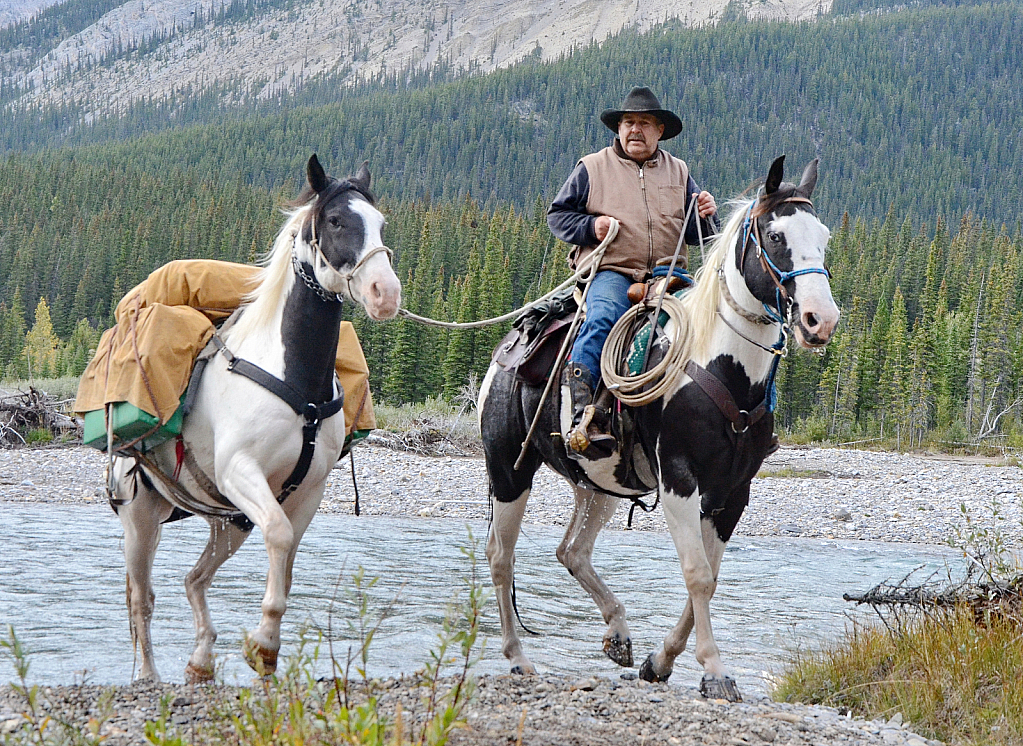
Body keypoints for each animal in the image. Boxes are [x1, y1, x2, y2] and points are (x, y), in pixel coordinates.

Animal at [109, 157, 401, 679]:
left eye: (381, 223)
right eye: (335, 221)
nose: (384, 293)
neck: (295, 382)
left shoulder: (306, 491)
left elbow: (287, 561)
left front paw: (267, 646)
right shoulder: (241, 471)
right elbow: (280, 539)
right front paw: (263, 642)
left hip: (230, 522)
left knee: (194, 579)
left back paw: (202, 659)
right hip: (140, 518)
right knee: (142, 598)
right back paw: (149, 675)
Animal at [478, 155, 838, 699]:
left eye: (824, 236)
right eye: (775, 236)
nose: (821, 320)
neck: (717, 364)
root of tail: (511, 344)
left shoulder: (733, 491)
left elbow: (710, 576)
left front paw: (659, 661)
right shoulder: (679, 479)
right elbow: (697, 574)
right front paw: (713, 671)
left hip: (599, 486)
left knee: (572, 551)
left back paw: (618, 634)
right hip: (508, 470)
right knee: (501, 557)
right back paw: (518, 658)